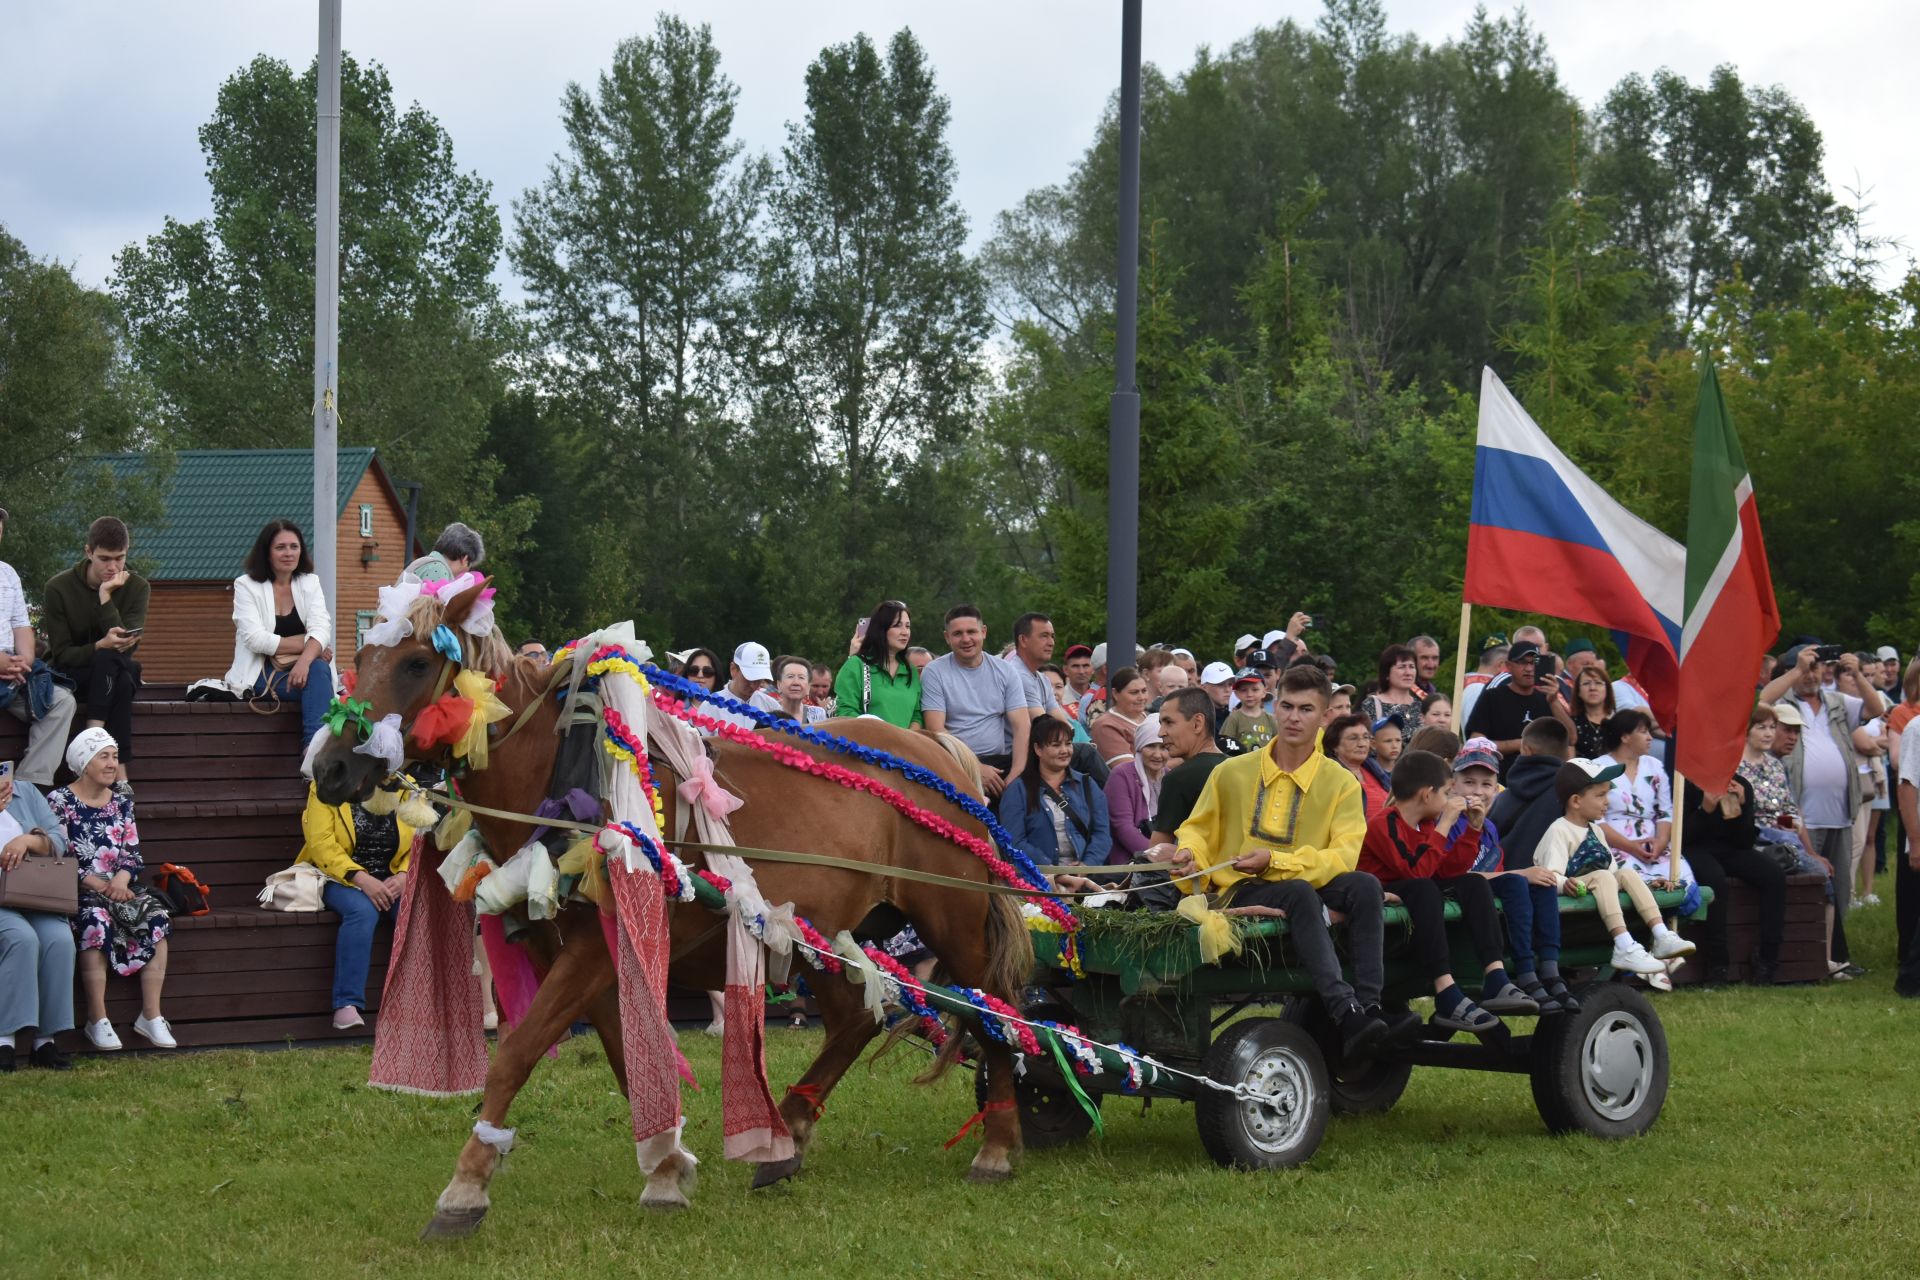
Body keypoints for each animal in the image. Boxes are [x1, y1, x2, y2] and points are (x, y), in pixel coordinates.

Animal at [307, 575, 1075, 1235]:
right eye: (362, 656)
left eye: (414, 663)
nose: (331, 768)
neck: (566, 775)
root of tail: (939, 753)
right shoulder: (586, 957)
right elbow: (625, 1057)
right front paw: (667, 1168)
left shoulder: (595, 948)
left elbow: (518, 1054)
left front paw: (466, 1187)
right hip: (815, 930)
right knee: (857, 1018)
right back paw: (787, 1132)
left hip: (952, 917)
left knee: (999, 1014)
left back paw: (997, 1144)